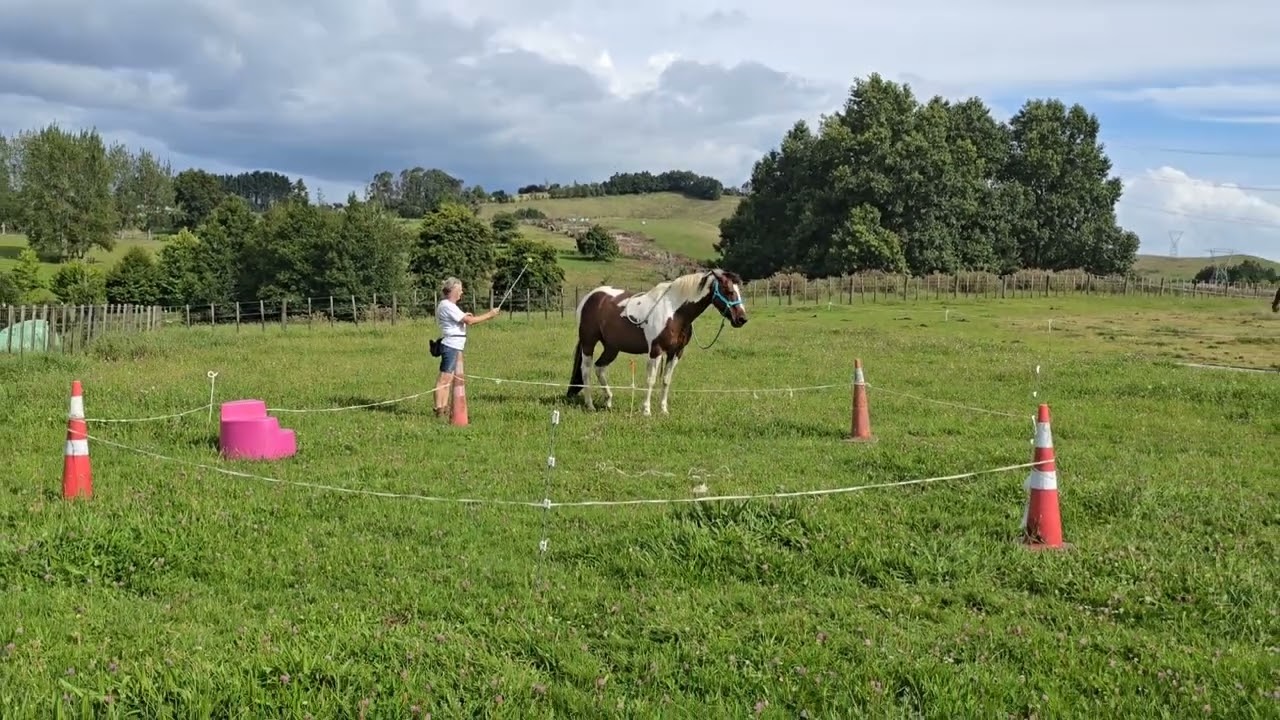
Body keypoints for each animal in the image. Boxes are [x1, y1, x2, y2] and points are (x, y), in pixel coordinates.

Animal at [567, 268, 749, 415]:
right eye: (728, 290)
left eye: (738, 290)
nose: (742, 319)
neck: (675, 312)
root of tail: (590, 297)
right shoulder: (656, 350)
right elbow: (651, 380)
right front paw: (646, 410)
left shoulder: (676, 352)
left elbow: (666, 380)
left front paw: (663, 410)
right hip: (589, 343)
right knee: (586, 370)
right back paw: (590, 405)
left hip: (612, 348)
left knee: (600, 368)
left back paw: (609, 400)